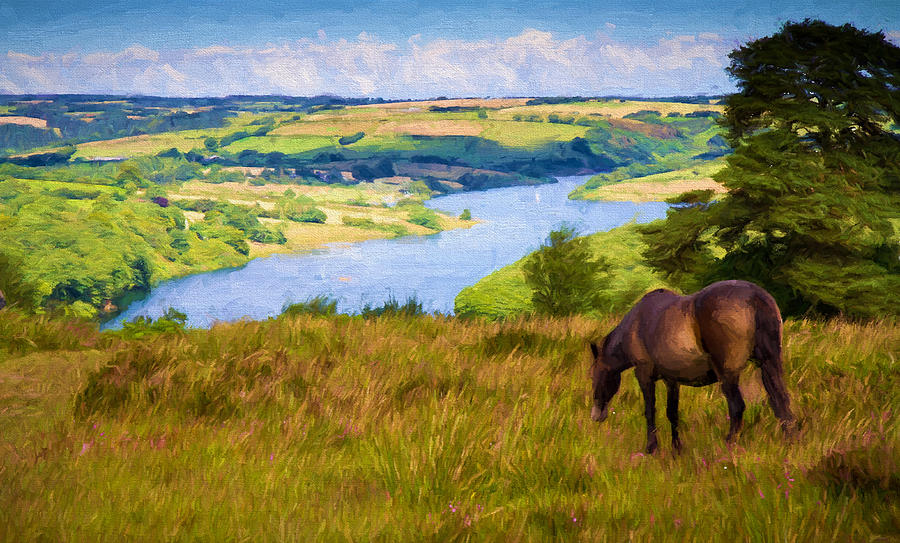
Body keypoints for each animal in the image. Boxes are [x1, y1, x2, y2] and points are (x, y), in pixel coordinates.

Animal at [592, 280, 796, 454]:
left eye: (594, 376)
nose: (596, 416)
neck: (636, 323)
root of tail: (755, 295)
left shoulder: (644, 374)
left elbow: (650, 411)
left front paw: (651, 448)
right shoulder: (671, 380)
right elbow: (672, 413)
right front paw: (676, 449)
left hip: (728, 375)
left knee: (737, 407)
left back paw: (727, 445)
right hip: (770, 364)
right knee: (781, 401)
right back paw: (789, 443)